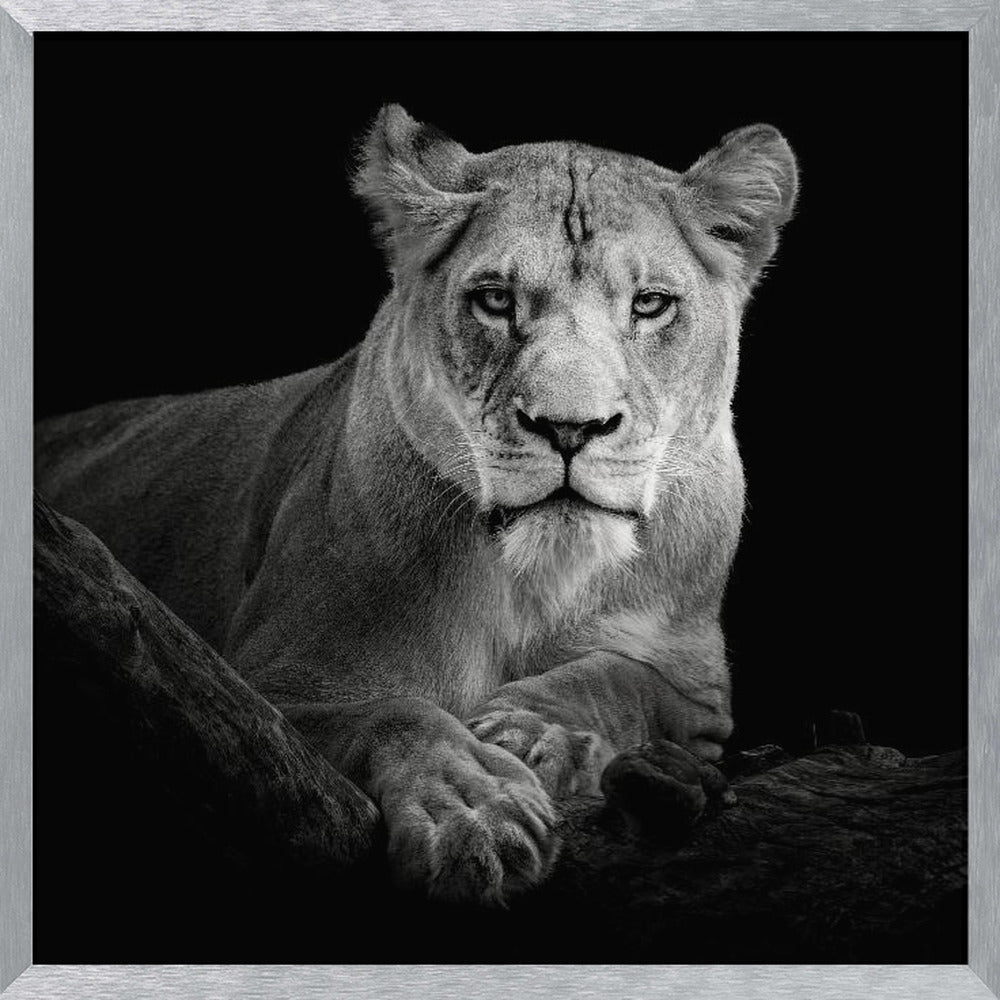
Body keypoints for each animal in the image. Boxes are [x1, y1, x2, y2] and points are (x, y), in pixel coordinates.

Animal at [35, 105, 797, 905]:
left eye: (650, 305)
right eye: (495, 299)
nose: (569, 428)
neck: (535, 580)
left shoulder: (697, 688)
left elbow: (620, 678)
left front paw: (533, 733)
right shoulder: (260, 694)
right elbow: (396, 714)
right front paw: (474, 811)